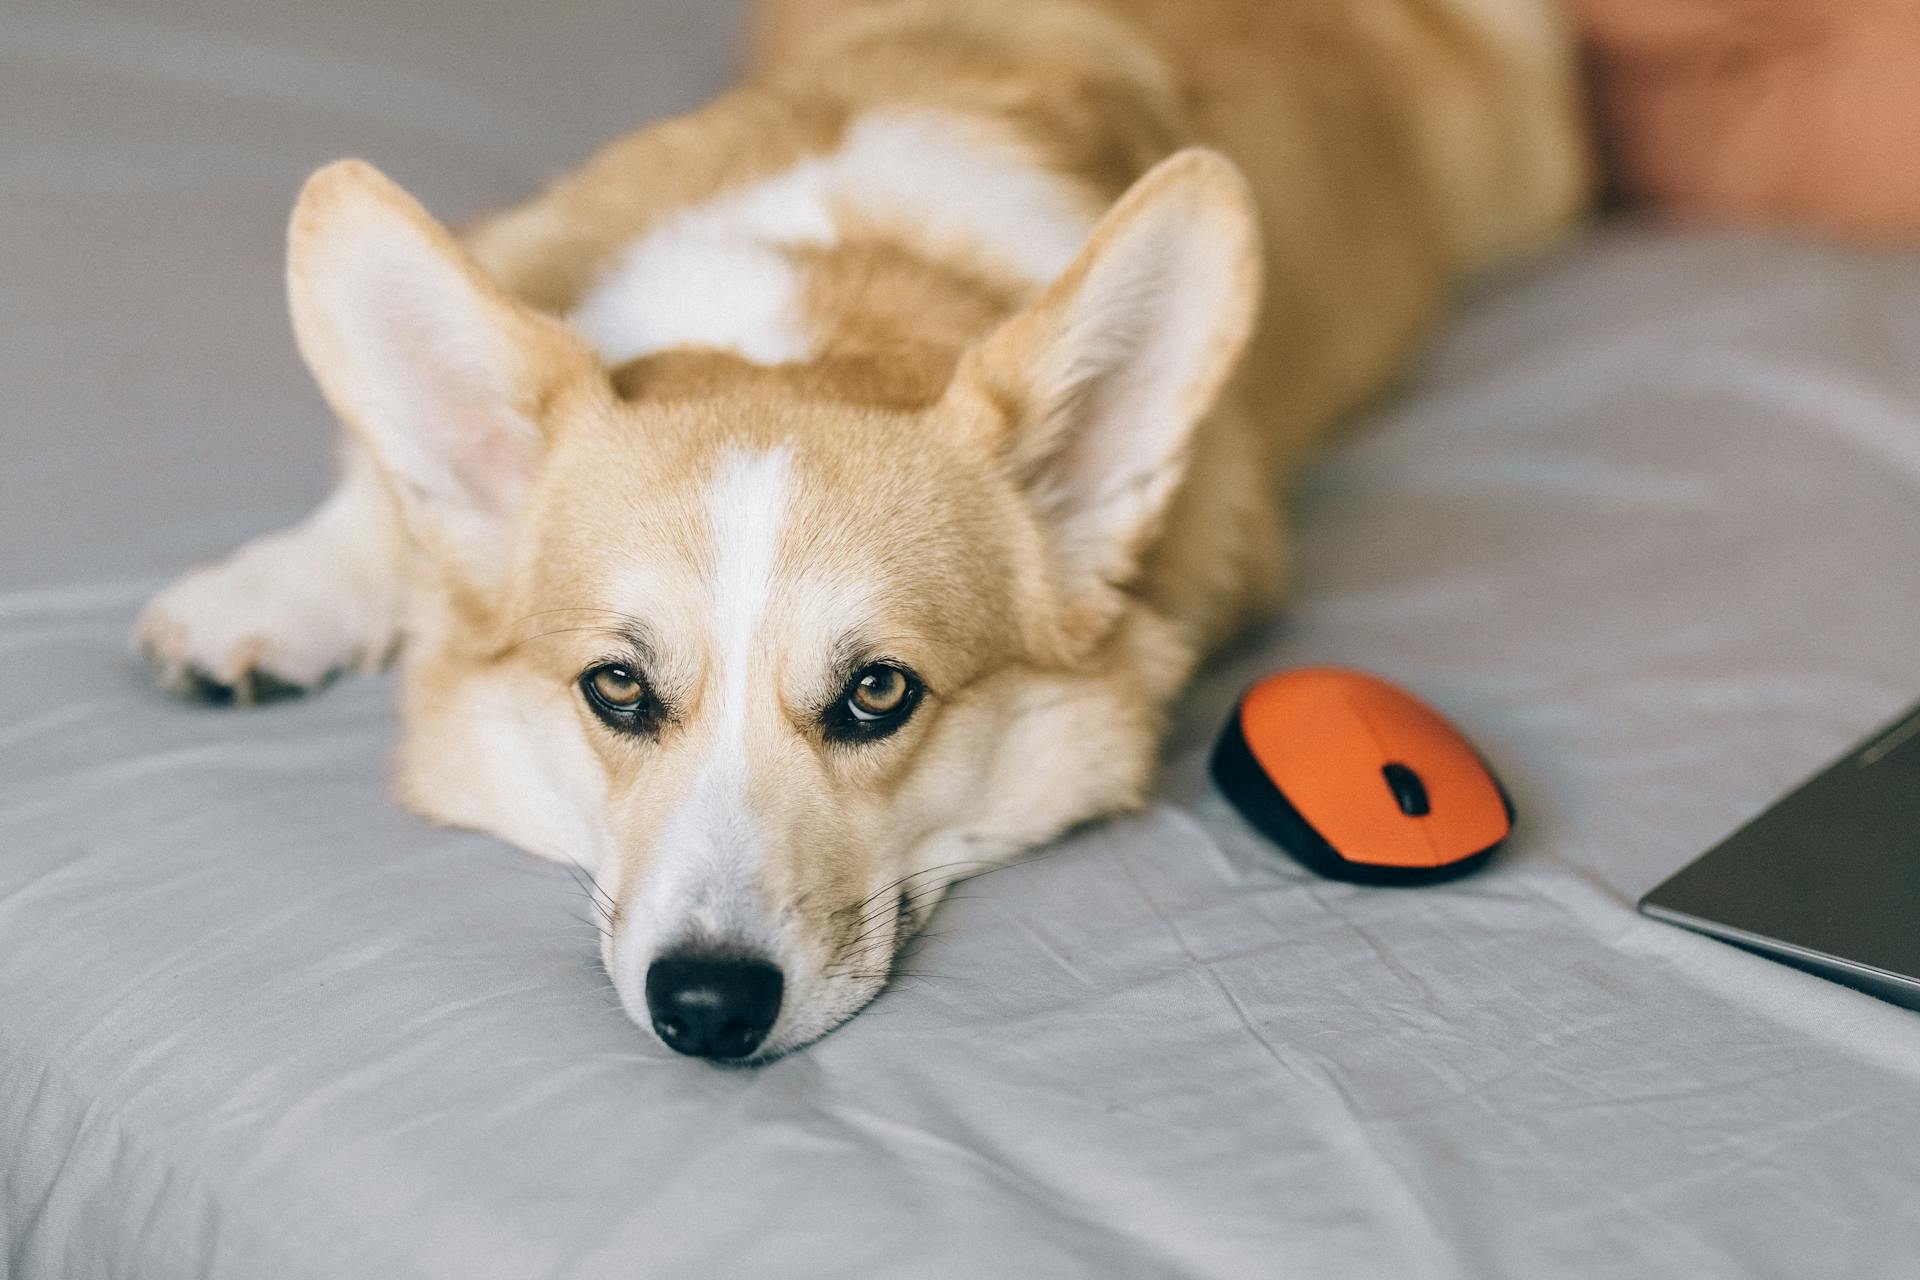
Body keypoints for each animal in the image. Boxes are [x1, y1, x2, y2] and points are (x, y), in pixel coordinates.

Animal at [135, 0, 1589, 1059]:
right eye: (618, 688)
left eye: (879, 694)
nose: (706, 1013)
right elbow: (376, 491)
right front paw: (269, 594)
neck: (823, 297)